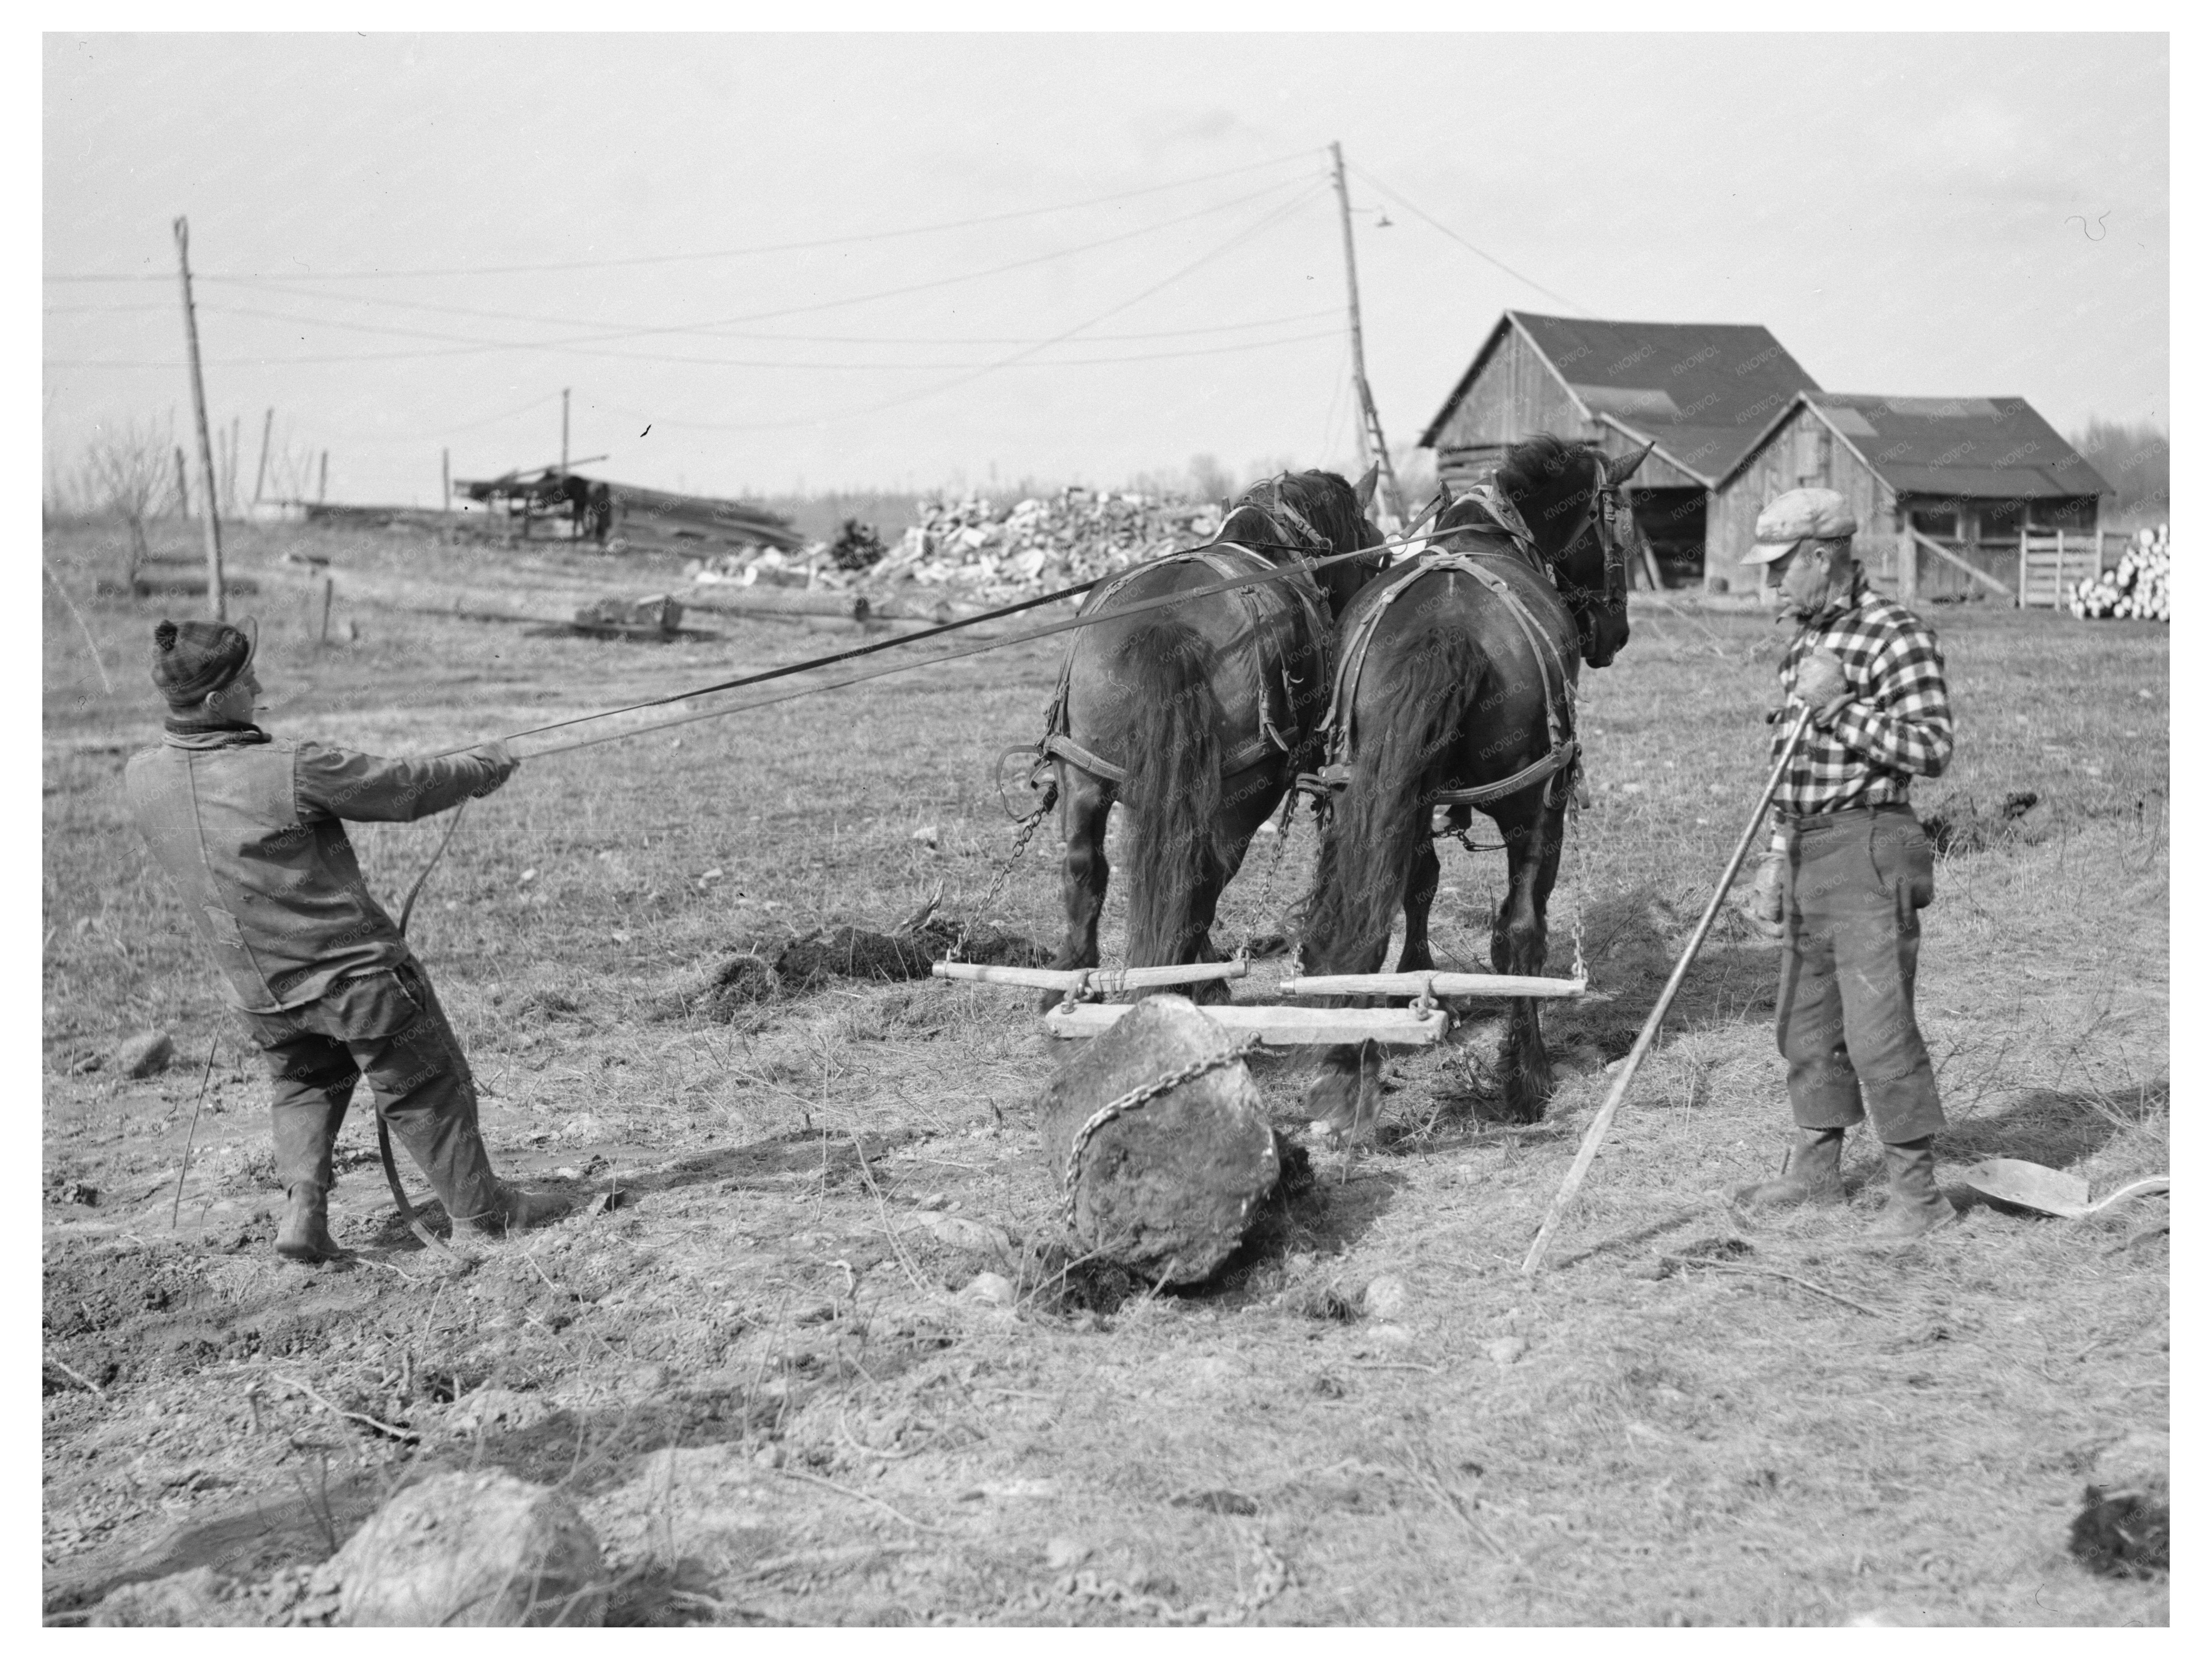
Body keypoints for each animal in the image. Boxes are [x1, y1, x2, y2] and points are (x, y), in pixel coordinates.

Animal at [1035, 471, 1380, 1013]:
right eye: (1371, 545)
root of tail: (1169, 624)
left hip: (1083, 771)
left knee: (1086, 863)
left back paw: (1072, 978)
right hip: (1244, 792)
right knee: (1205, 874)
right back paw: (1188, 981)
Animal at [1291, 435, 1646, 1141]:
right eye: (1617, 524)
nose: (1615, 633)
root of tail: (1447, 629)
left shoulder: (1410, 793)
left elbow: (1417, 885)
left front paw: (1413, 988)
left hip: (1364, 793)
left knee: (1359, 911)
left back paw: (1348, 1064)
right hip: (1534, 803)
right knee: (1522, 931)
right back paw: (1527, 1076)